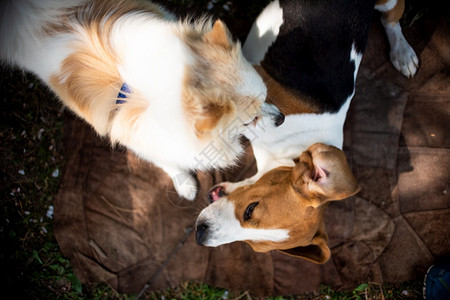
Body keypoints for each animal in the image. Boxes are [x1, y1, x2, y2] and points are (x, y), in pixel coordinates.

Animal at [0, 0, 284, 202]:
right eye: (249, 121)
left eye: (265, 97)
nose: (281, 118)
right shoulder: (137, 134)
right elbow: (166, 160)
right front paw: (185, 184)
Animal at [197, 0, 418, 262]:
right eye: (252, 209)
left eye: (254, 245)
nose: (201, 234)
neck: (289, 151)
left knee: (391, 19)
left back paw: (402, 52)